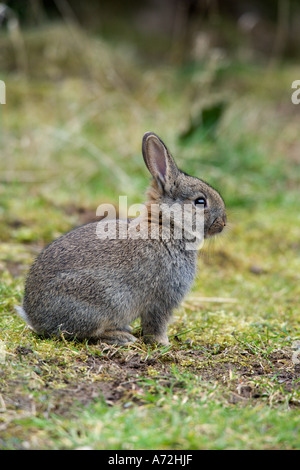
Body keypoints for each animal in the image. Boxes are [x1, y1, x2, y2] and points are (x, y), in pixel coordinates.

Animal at [15, 132, 225, 346]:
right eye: (200, 202)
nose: (223, 223)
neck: (168, 225)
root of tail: (33, 317)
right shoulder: (162, 298)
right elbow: (156, 325)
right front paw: (164, 343)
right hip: (100, 302)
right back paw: (122, 336)